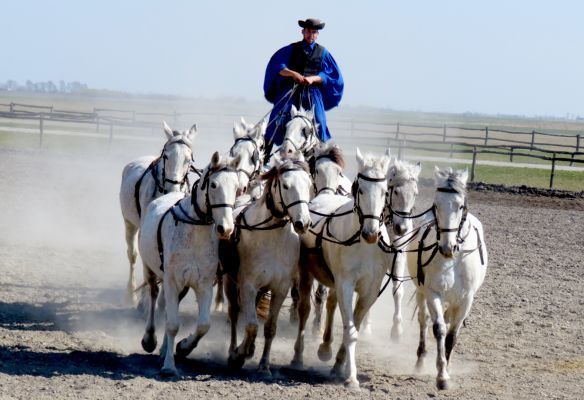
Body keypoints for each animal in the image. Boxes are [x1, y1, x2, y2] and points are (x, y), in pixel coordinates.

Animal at [118, 122, 196, 304]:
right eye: (166, 156)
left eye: (188, 160)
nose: (173, 187)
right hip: (129, 223)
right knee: (132, 255)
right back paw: (131, 293)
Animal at [138, 152, 241, 376]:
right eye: (214, 185)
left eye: (237, 187)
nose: (226, 228)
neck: (194, 231)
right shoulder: (171, 281)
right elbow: (172, 324)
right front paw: (169, 365)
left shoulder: (203, 284)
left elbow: (203, 325)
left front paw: (183, 347)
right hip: (150, 270)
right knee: (153, 295)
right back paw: (150, 339)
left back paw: (164, 349)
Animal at [222, 154, 312, 376]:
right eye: (286, 185)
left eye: (309, 185)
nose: (303, 223)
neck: (271, 237)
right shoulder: (248, 286)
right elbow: (251, 325)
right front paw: (238, 355)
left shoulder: (280, 288)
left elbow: (270, 328)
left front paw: (264, 365)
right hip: (230, 282)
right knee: (235, 314)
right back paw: (233, 349)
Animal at [292, 148, 392, 390]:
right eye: (360, 189)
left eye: (385, 191)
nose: (371, 233)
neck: (363, 245)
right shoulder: (346, 283)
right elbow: (351, 330)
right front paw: (351, 377)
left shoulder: (370, 290)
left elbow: (354, 324)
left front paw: (338, 364)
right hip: (307, 273)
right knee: (304, 309)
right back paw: (298, 356)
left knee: (330, 304)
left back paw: (325, 348)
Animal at [408, 167, 490, 390]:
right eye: (436, 204)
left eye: (460, 205)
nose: (447, 247)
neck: (454, 258)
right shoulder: (433, 293)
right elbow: (439, 329)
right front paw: (441, 375)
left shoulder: (465, 299)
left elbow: (452, 336)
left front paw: (447, 369)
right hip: (421, 292)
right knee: (424, 321)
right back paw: (420, 360)